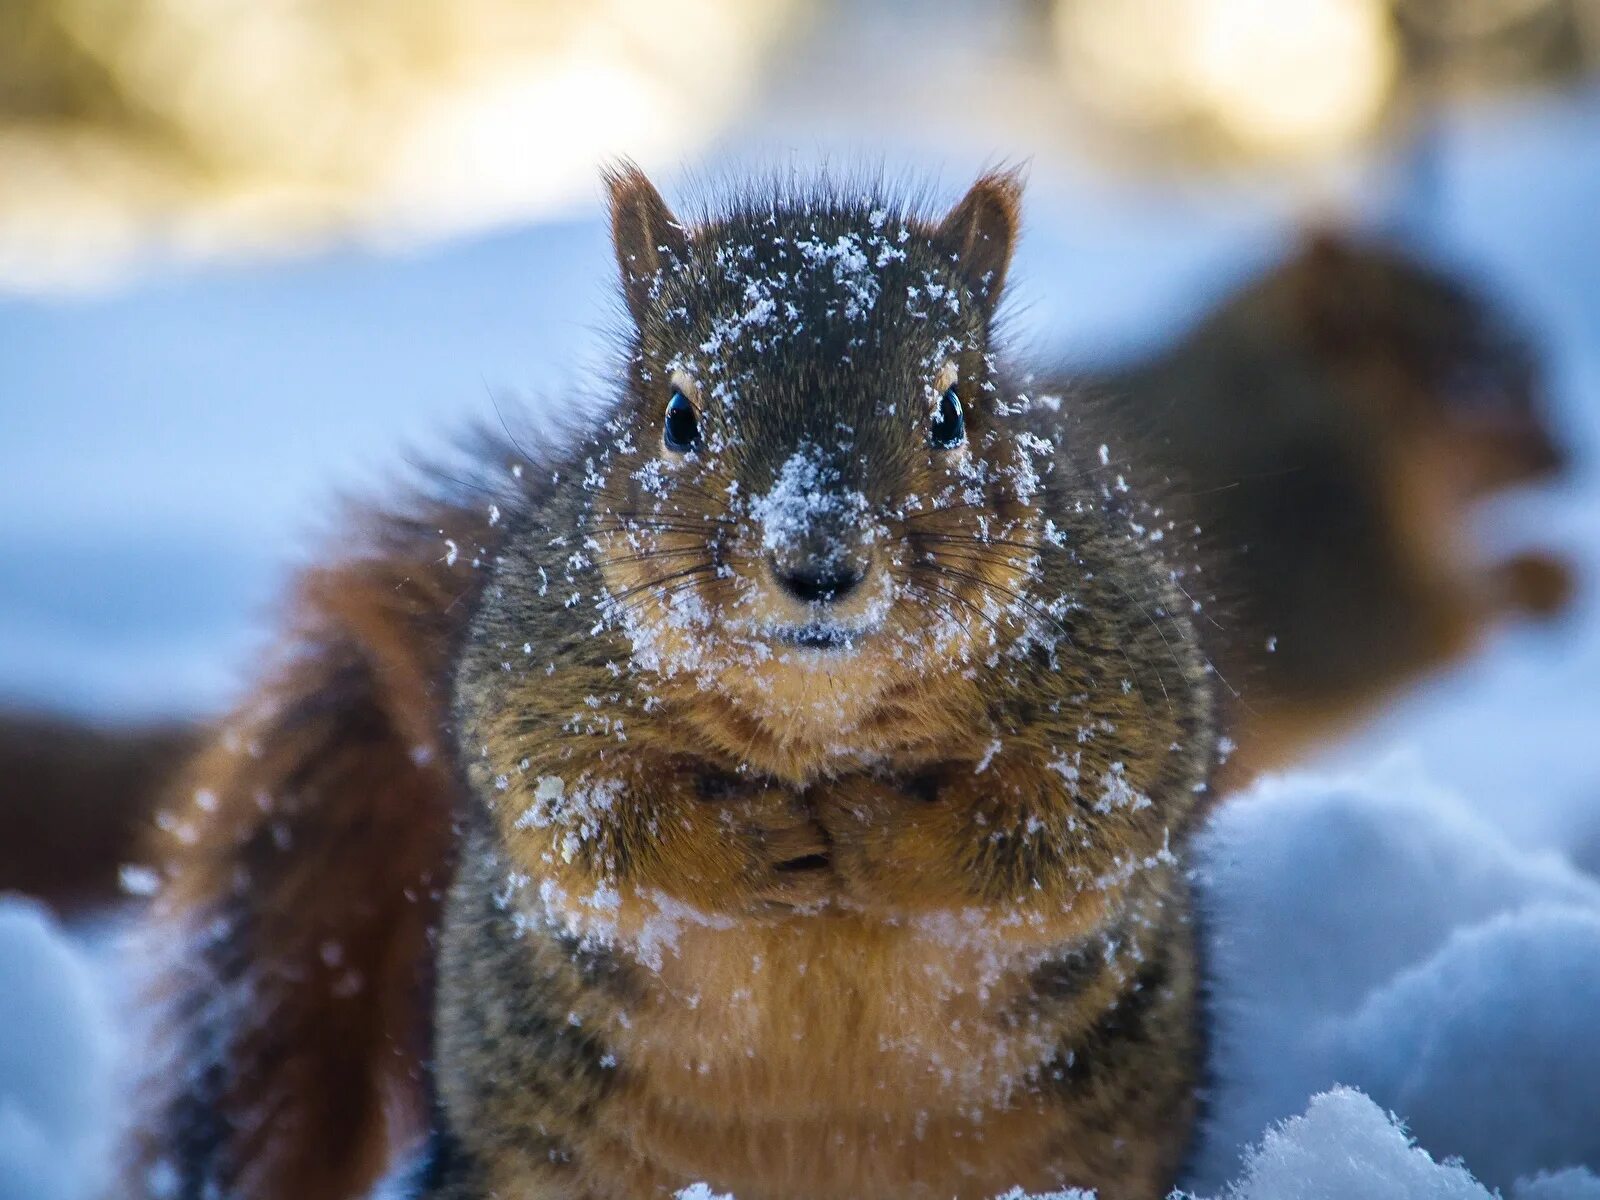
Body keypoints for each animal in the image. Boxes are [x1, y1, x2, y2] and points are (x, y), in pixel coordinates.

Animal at [121, 167, 1209, 1200]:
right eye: (678, 417)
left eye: (951, 412)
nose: (818, 563)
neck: (819, 715)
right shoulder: (529, 688)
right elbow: (595, 829)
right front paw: (754, 840)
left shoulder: (1127, 695)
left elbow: (1063, 836)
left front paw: (872, 829)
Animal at [1062, 232, 1574, 780]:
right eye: (1465, 382)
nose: (1567, 456)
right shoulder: (1326, 557)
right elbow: (1430, 627)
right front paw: (1540, 579)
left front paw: (1545, 576)